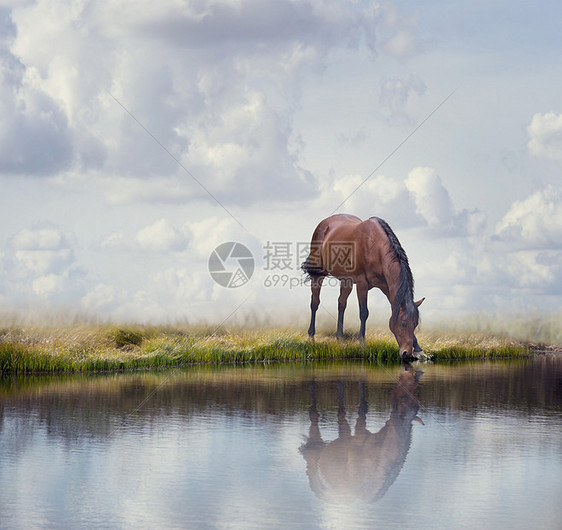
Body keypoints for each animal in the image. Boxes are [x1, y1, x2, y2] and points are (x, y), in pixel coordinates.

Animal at [300, 213, 422, 358]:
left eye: (415, 324)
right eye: (403, 323)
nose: (406, 353)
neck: (375, 247)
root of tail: (324, 223)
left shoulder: (387, 287)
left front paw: (418, 348)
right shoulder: (362, 283)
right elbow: (364, 313)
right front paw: (362, 344)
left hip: (346, 280)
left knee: (341, 304)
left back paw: (339, 339)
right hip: (318, 274)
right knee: (315, 303)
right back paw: (311, 337)